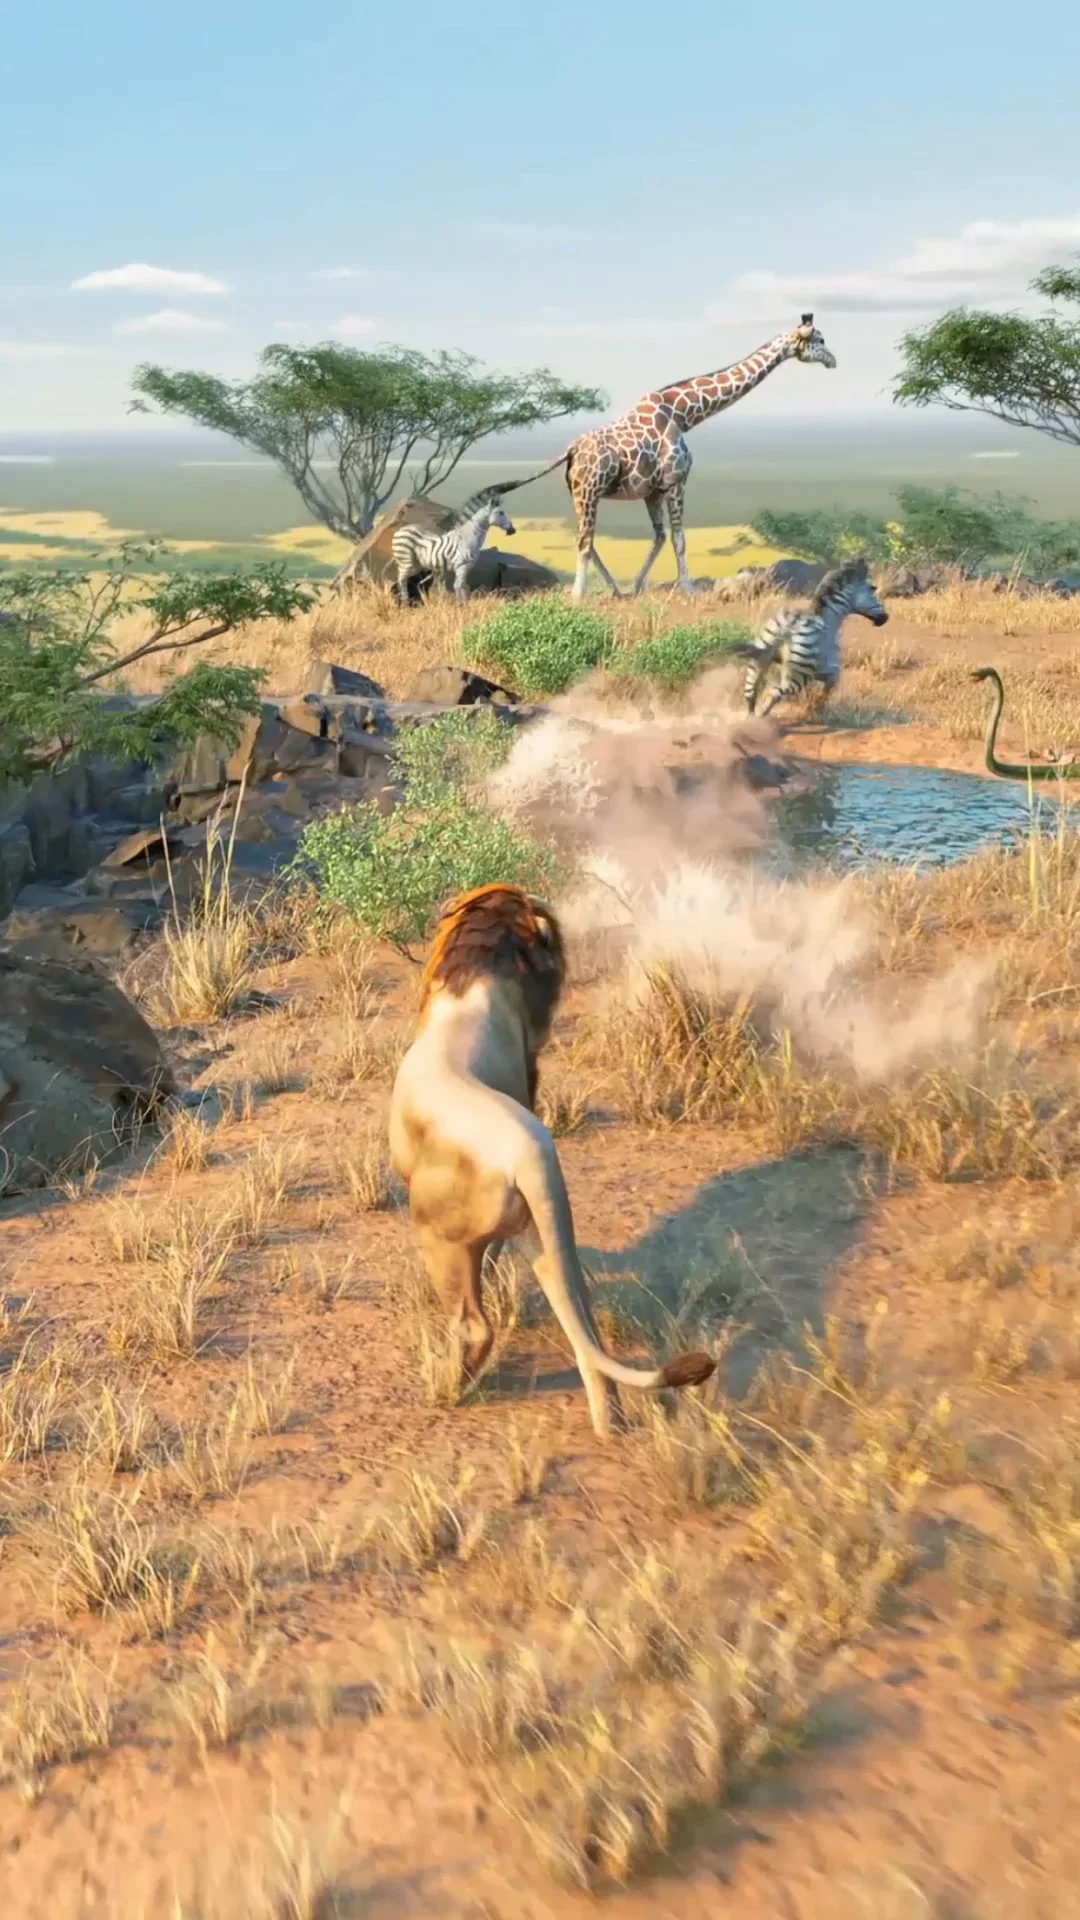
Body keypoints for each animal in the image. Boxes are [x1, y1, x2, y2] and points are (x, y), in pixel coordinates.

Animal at [388, 882, 715, 1439]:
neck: (480, 976)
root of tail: (530, 1151)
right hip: (545, 1234)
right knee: (585, 1324)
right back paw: (610, 1424)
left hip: (438, 1233)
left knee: (474, 1325)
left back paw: (446, 1389)